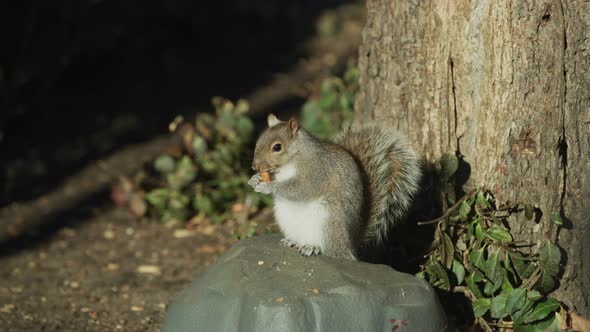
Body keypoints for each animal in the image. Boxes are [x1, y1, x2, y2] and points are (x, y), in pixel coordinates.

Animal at [247, 115, 424, 260]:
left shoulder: (316, 172)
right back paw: (293, 241)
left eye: (277, 147)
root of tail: (350, 245)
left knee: (332, 251)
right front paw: (255, 179)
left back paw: (313, 247)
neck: (292, 160)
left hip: (329, 220)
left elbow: (301, 189)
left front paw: (268, 186)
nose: (255, 166)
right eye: (258, 141)